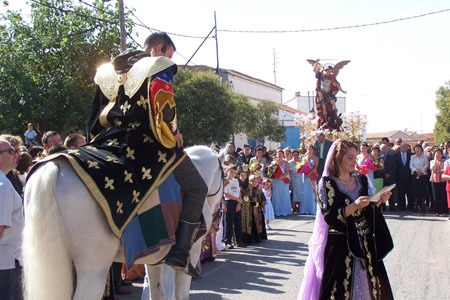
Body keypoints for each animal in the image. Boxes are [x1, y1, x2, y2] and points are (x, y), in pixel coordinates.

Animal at [22, 144, 223, 298]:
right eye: (224, 177)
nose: (216, 221)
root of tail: (54, 167)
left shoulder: (155, 259)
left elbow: (156, 293)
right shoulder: (190, 253)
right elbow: (178, 293)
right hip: (94, 268)